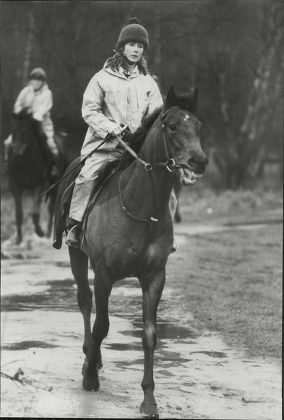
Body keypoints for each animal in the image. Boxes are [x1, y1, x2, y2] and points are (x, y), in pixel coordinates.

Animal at [6, 110, 69, 244]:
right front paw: (18, 238)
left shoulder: (39, 185)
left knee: (52, 209)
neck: (25, 162)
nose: (15, 155)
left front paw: (40, 231)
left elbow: (35, 213)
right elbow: (18, 213)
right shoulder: (15, 185)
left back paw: (49, 233)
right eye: (13, 132)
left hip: (56, 188)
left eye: (25, 133)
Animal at [53, 86, 209, 416]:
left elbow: (149, 335)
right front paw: (89, 377)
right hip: (77, 256)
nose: (199, 161)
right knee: (85, 302)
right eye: (172, 126)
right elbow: (101, 325)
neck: (141, 207)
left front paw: (149, 399)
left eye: (198, 126)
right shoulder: (104, 274)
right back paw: (89, 356)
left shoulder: (154, 276)